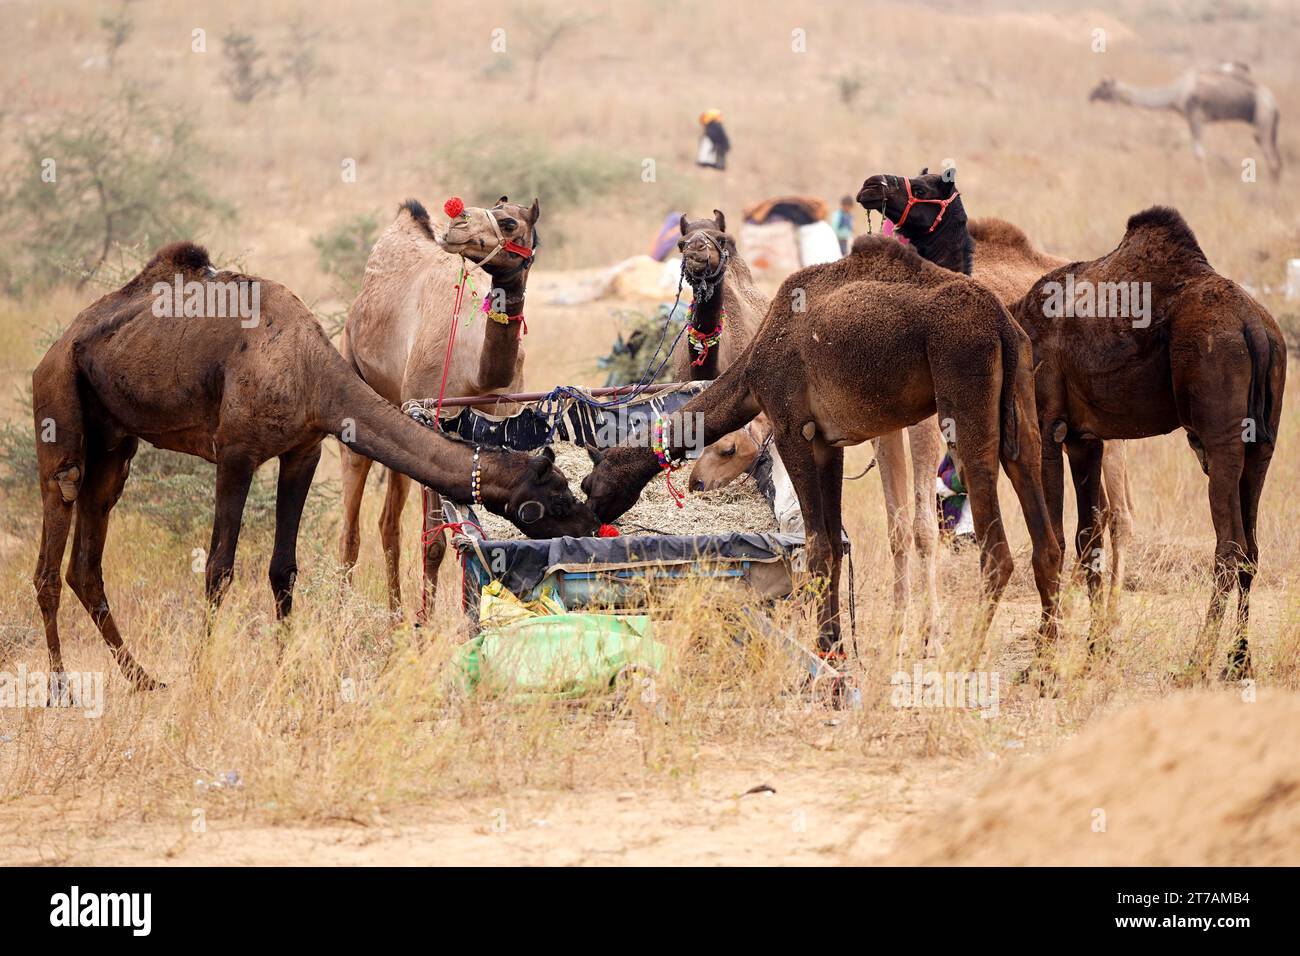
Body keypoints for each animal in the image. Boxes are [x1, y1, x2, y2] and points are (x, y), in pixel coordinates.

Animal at [343, 195, 540, 616]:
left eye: (510, 223)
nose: (458, 222)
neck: (478, 377)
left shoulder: (498, 419)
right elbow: (434, 542)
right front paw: (425, 625)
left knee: (388, 523)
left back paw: (395, 616)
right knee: (351, 525)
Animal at [585, 236, 1060, 671]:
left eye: (593, 483)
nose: (592, 519)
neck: (753, 365)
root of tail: (1002, 322)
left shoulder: (792, 427)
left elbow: (814, 545)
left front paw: (826, 650)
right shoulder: (828, 443)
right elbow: (832, 544)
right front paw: (836, 647)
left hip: (964, 396)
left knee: (995, 551)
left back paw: (964, 657)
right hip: (1021, 402)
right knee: (1044, 535)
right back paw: (1043, 661)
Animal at [1008, 208, 1284, 681]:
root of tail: (1255, 328)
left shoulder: (1047, 426)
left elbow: (1052, 541)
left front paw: (1042, 663)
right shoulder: (1084, 438)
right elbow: (1088, 538)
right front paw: (1095, 650)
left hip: (1220, 436)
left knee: (1228, 548)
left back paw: (1196, 663)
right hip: (1261, 445)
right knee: (1250, 548)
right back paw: (1238, 662)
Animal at [1086, 67, 1279, 180]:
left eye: (1103, 86)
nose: (1091, 95)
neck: (1174, 94)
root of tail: (1274, 104)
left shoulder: (1195, 114)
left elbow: (1199, 154)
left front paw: (1208, 186)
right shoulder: (1190, 117)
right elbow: (1199, 152)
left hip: (1263, 120)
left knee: (1272, 162)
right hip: (1268, 126)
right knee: (1277, 162)